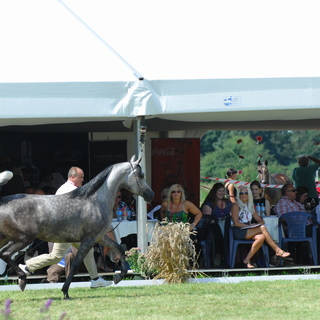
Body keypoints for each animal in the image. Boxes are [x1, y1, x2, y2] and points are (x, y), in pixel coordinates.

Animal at [0, 156, 154, 298]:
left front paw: (117, 277)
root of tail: (3, 201)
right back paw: (22, 279)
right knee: (5, 253)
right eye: (141, 175)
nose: (150, 195)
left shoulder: (99, 237)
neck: (95, 201)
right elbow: (75, 264)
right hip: (23, 239)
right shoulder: (88, 240)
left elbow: (120, 249)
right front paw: (65, 292)